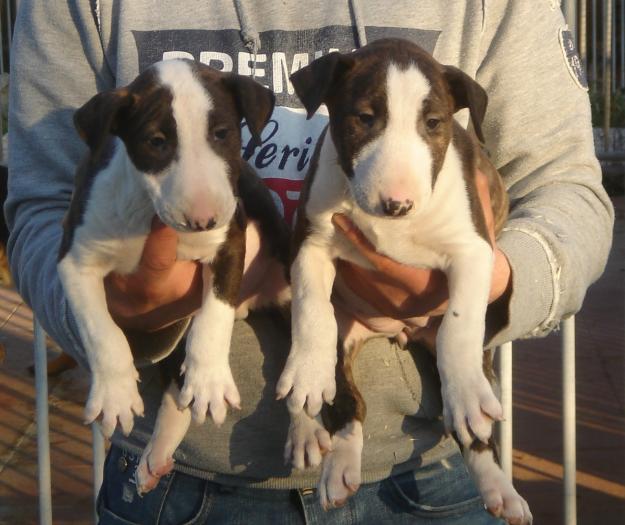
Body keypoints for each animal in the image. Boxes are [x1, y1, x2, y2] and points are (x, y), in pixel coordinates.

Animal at [56, 59, 290, 490]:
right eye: (156, 141)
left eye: (222, 133)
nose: (203, 219)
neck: (146, 211)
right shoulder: (75, 259)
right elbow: (102, 329)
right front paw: (115, 392)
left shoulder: (230, 242)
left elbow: (213, 316)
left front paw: (209, 380)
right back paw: (159, 454)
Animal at [278, 37, 532, 524]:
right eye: (363, 117)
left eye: (433, 123)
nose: (396, 204)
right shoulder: (311, 242)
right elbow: (312, 308)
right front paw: (308, 373)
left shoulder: (473, 250)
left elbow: (458, 325)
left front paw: (465, 393)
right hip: (346, 340)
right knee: (350, 405)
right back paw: (338, 466)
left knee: (473, 432)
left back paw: (498, 487)